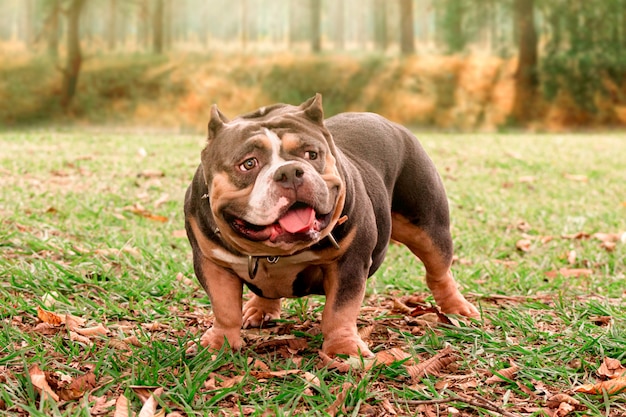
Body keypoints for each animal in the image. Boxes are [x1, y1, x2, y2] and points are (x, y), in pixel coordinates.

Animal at [183, 95, 476, 358]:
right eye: (248, 164)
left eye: (311, 154)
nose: (289, 172)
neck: (274, 252)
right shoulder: (212, 263)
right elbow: (224, 307)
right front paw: (218, 343)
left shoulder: (349, 263)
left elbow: (339, 311)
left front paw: (343, 350)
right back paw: (260, 308)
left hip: (429, 228)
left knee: (438, 270)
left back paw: (457, 308)